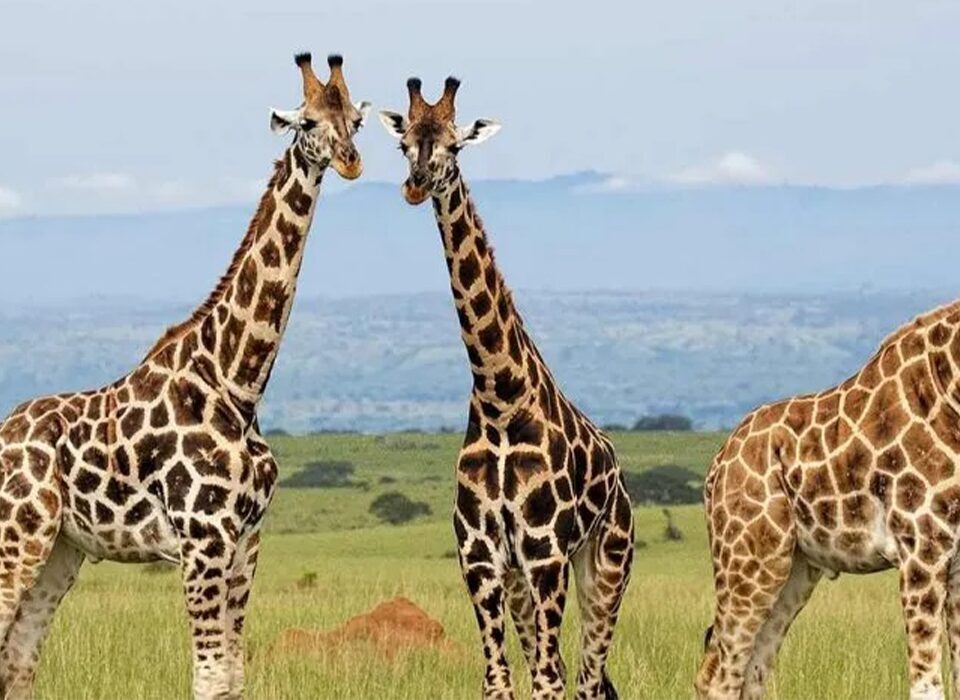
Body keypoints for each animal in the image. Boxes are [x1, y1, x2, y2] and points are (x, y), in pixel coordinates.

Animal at [0, 52, 369, 700]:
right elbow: (208, 677)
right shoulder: (203, 539)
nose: (350, 160)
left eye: (355, 120)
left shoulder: (246, 542)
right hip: (17, 533)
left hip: (61, 547)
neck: (238, 382)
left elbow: (234, 675)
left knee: (19, 655)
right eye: (306, 123)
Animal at [379, 77, 635, 700]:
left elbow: (546, 680)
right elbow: (499, 680)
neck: (500, 398)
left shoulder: (545, 553)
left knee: (587, 677)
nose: (415, 185)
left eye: (454, 146)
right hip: (526, 580)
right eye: (404, 145)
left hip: (606, 562)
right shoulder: (481, 558)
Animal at [696, 299, 960, 700]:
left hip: (796, 568)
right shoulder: (922, 548)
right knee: (719, 674)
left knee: (754, 669)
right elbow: (927, 684)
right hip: (751, 560)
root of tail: (718, 465)